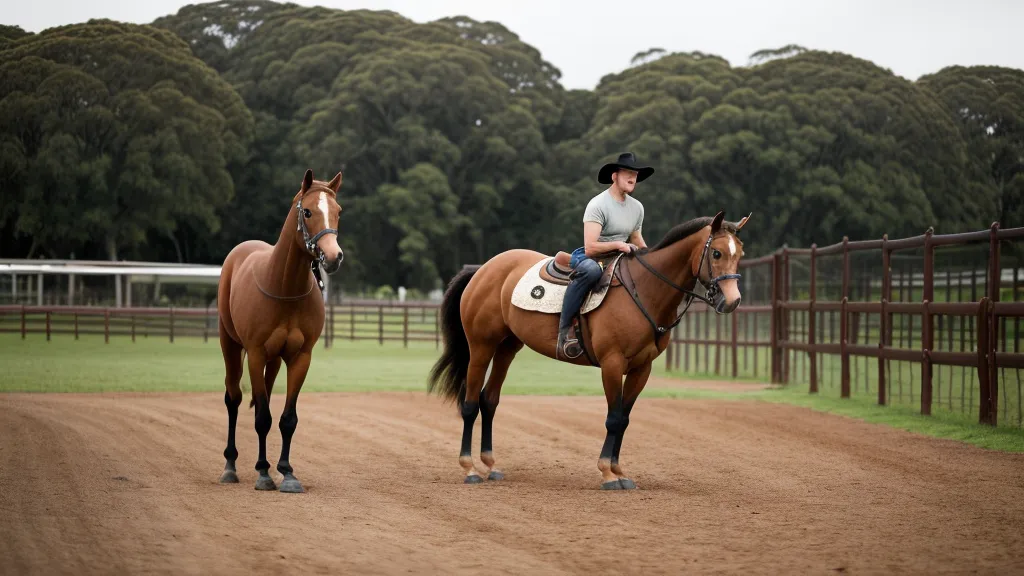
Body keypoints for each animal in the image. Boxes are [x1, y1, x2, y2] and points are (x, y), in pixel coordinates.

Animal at [215, 168, 345, 493]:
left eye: (338, 211)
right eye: (308, 211)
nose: (333, 256)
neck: (285, 288)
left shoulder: (300, 358)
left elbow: (287, 419)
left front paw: (286, 472)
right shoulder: (256, 354)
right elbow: (262, 417)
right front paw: (263, 472)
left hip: (273, 361)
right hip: (230, 344)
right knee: (234, 398)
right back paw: (231, 465)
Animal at [427, 210, 750, 489]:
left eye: (740, 254)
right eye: (717, 253)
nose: (732, 300)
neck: (644, 290)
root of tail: (484, 269)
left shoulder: (641, 369)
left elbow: (624, 419)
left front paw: (620, 471)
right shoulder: (612, 363)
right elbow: (613, 417)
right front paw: (608, 473)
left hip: (508, 347)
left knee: (489, 401)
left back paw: (491, 465)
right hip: (481, 347)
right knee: (470, 404)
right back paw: (469, 469)